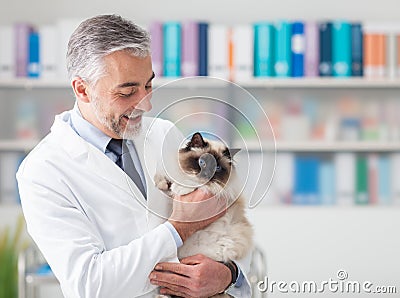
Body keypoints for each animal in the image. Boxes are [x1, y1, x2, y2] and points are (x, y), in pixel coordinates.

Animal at [154, 132, 253, 296]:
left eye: (217, 167)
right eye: (202, 162)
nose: (207, 174)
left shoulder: (219, 190)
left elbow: (196, 185)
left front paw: (180, 188)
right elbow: (166, 180)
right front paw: (162, 183)